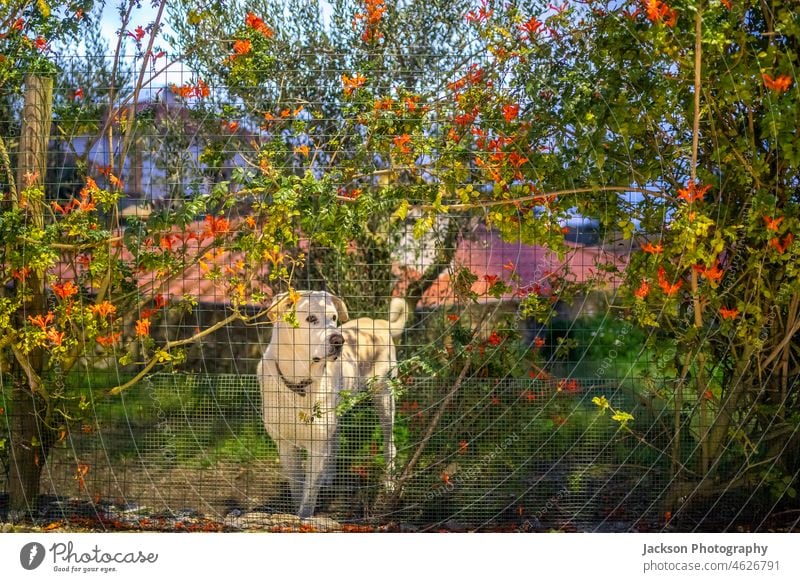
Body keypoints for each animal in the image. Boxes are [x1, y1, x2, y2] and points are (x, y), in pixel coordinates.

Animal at [256, 292, 406, 520]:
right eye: (311, 318)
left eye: (334, 318)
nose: (339, 340)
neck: (300, 383)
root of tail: (378, 322)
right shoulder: (285, 444)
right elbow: (297, 487)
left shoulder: (317, 444)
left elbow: (309, 494)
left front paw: (304, 518)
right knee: (335, 439)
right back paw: (328, 475)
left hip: (384, 397)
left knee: (390, 444)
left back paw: (389, 483)